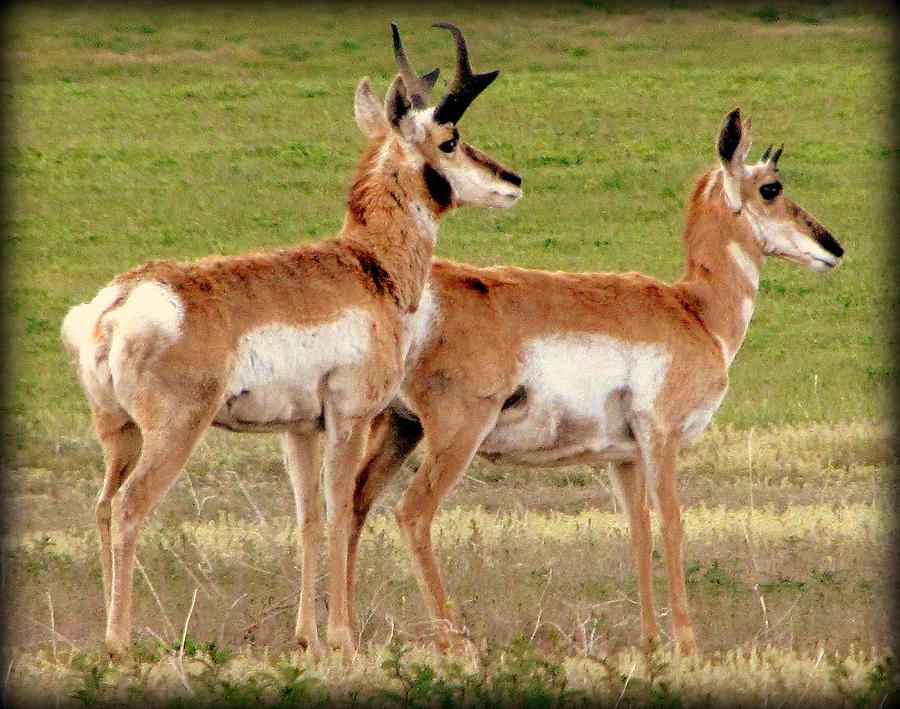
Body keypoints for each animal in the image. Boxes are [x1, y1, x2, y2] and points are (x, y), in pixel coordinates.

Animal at [59, 20, 520, 652]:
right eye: (449, 140)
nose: (513, 180)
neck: (368, 264)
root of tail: (121, 300)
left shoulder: (298, 430)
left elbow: (307, 517)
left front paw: (308, 638)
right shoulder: (351, 417)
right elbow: (343, 511)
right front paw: (343, 637)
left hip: (118, 434)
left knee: (103, 508)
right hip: (174, 431)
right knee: (129, 509)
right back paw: (120, 642)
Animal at [342, 106, 844, 652]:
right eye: (771, 187)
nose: (834, 247)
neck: (695, 310)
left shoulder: (624, 457)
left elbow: (638, 529)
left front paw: (650, 642)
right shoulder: (662, 437)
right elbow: (673, 524)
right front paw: (687, 644)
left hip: (397, 428)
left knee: (352, 503)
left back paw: (345, 634)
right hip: (455, 435)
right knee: (412, 513)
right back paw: (456, 643)